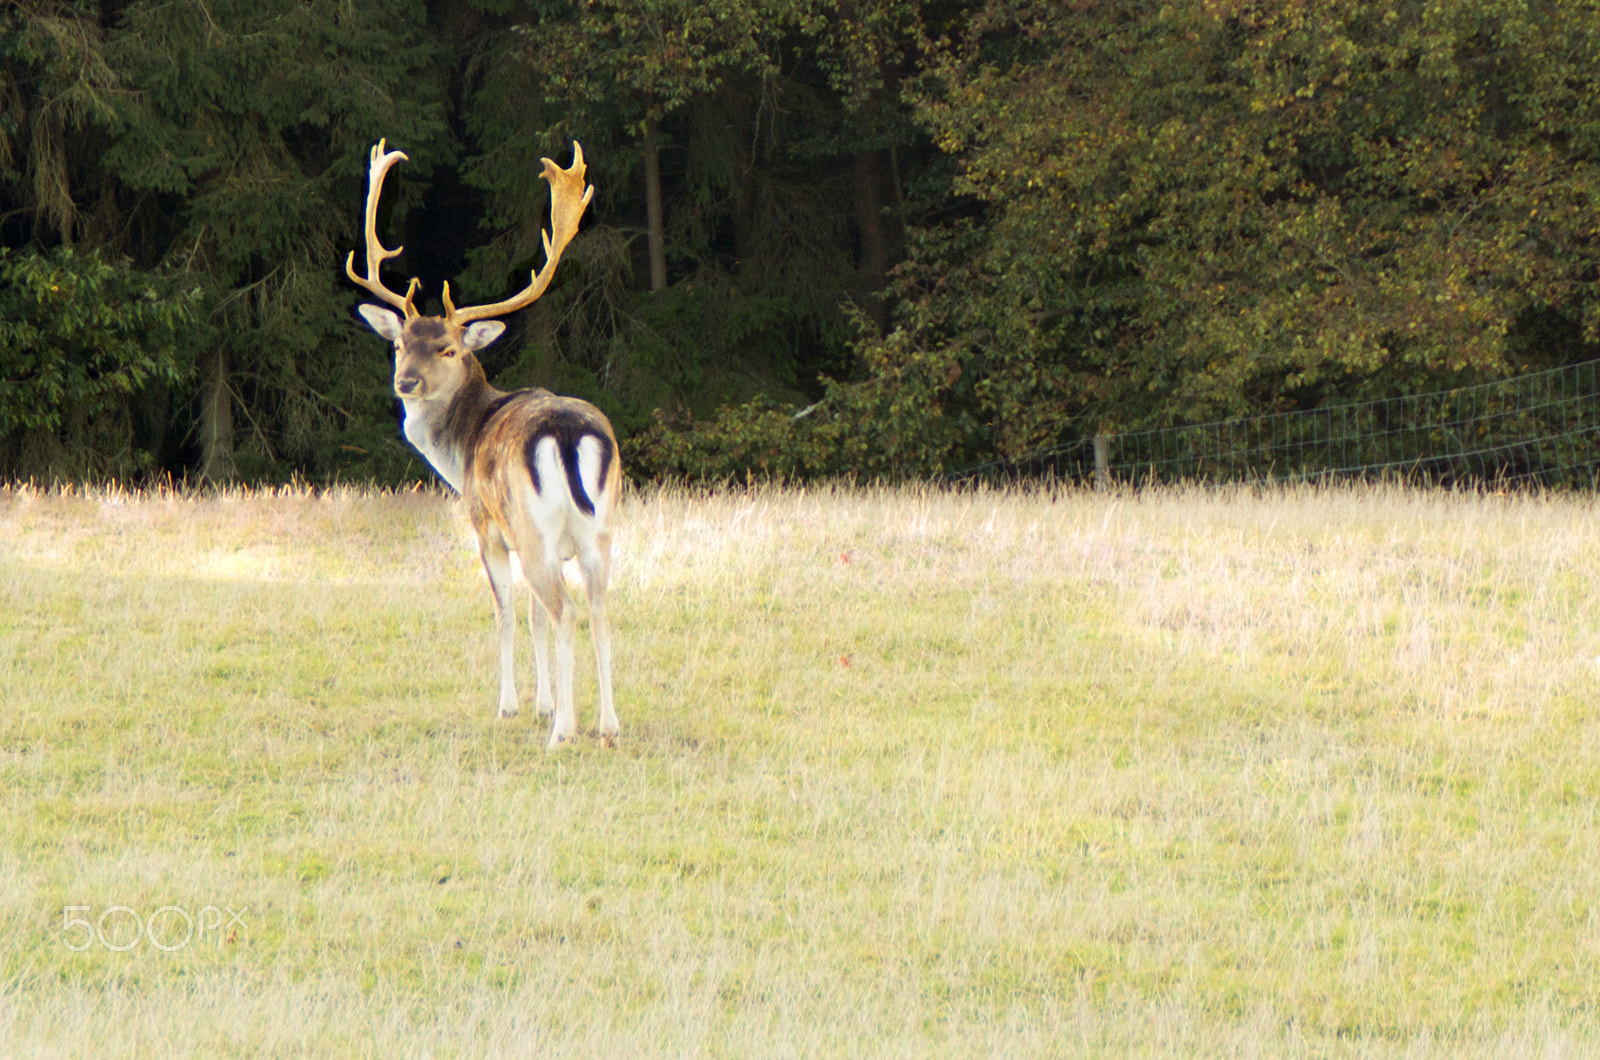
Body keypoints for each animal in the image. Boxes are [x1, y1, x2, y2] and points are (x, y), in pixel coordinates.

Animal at [347, 140, 620, 752]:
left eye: (448, 349)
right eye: (399, 343)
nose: (406, 382)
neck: (463, 445)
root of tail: (569, 434)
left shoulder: (487, 527)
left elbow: (507, 612)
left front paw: (514, 707)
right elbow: (534, 617)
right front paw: (544, 703)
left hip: (533, 526)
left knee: (565, 611)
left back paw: (565, 733)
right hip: (601, 529)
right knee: (598, 609)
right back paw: (608, 725)